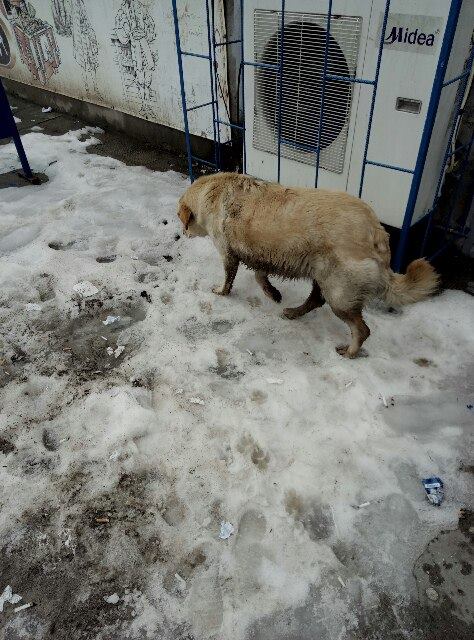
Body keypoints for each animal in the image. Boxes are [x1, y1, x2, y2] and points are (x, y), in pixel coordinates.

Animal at [177, 172, 439, 357]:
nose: (182, 234)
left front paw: (221, 292)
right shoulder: (261, 254)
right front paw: (273, 293)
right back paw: (293, 312)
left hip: (339, 292)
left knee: (361, 329)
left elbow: (229, 277)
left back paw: (350, 352)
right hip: (322, 275)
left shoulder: (227, 252)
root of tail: (377, 231)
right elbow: (260, 277)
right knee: (315, 300)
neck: (214, 190)